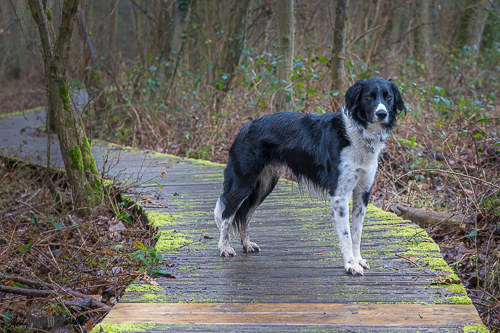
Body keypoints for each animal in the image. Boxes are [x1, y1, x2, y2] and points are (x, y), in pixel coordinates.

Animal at [214, 77, 406, 274]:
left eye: (388, 97)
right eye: (369, 97)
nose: (382, 113)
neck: (359, 135)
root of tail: (244, 128)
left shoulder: (362, 192)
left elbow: (357, 233)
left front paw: (358, 260)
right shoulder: (340, 194)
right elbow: (346, 234)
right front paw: (350, 265)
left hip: (264, 184)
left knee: (246, 214)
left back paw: (246, 244)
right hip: (244, 182)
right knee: (227, 213)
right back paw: (224, 248)